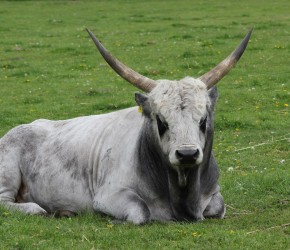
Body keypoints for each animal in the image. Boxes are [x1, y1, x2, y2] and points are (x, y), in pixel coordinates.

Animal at [0, 28, 251, 224]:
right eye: (161, 121)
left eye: (203, 119)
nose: (187, 154)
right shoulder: (109, 195)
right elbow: (140, 212)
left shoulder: (213, 195)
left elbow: (218, 207)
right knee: (9, 203)